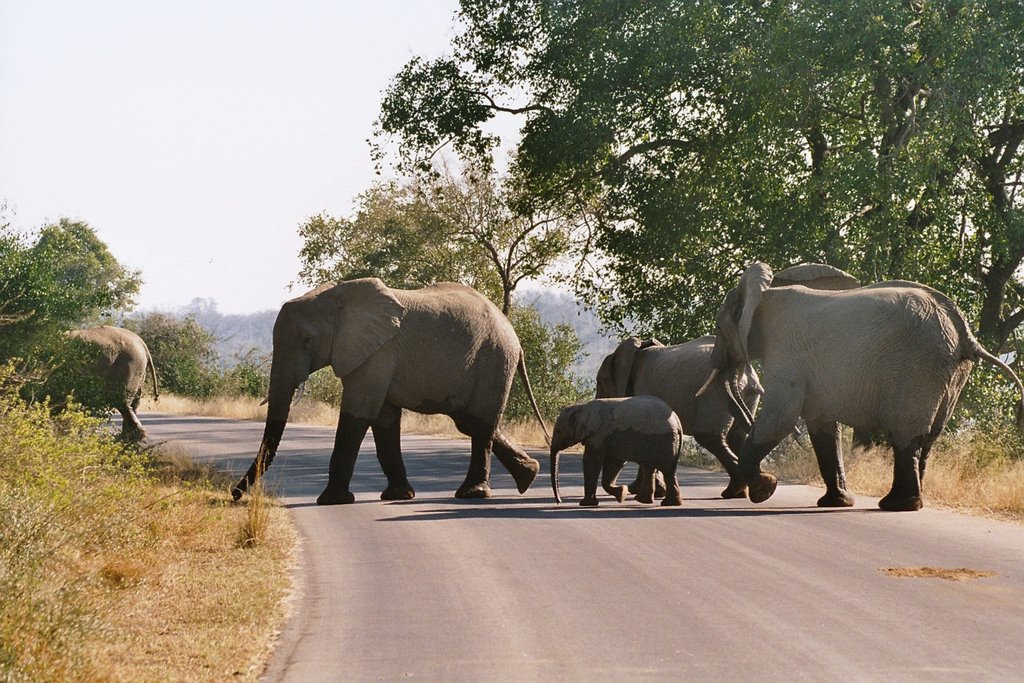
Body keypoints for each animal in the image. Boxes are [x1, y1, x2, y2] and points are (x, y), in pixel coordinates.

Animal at [232, 278, 552, 507]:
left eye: (308, 341)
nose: (234, 495)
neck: (334, 297)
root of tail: (513, 333)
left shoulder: (377, 353)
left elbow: (358, 413)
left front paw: (331, 501)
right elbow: (384, 419)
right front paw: (399, 496)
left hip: (494, 359)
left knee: (480, 421)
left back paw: (473, 494)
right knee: (470, 421)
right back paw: (529, 476)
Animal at [548, 395, 684, 507]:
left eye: (558, 431)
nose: (559, 502)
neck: (582, 407)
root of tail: (677, 421)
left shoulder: (600, 434)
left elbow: (592, 461)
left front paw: (586, 504)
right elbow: (614, 464)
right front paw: (622, 493)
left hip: (663, 440)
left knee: (666, 469)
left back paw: (667, 503)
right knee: (650, 467)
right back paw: (646, 501)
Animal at [593, 335, 761, 497]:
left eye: (600, 382)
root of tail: (741, 369)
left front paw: (642, 491)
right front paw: (651, 491)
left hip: (714, 392)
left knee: (710, 437)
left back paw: (737, 491)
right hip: (746, 394)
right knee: (737, 437)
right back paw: (753, 490)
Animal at [700, 262, 1024, 511]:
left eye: (718, 328)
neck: (764, 293)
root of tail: (964, 332)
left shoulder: (786, 353)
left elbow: (780, 418)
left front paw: (765, 490)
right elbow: (823, 428)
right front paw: (835, 503)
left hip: (917, 368)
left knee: (906, 435)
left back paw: (897, 506)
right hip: (950, 372)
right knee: (928, 438)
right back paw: (908, 502)